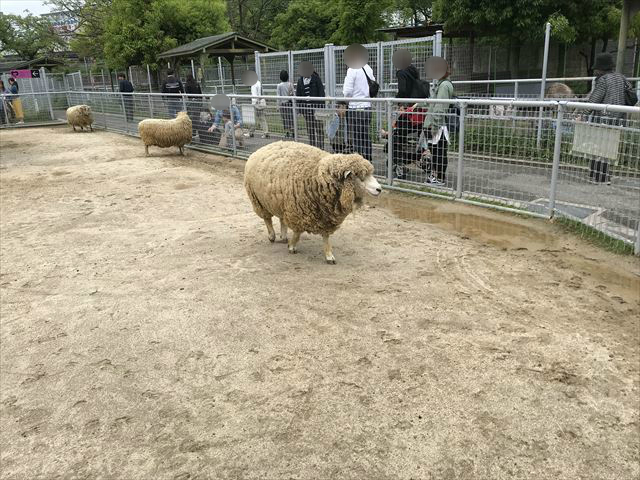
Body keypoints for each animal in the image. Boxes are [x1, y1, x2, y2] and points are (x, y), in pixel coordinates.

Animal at [244, 141, 380, 264]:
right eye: (361, 177)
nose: (380, 189)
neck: (317, 177)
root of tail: (264, 147)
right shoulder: (298, 212)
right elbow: (297, 233)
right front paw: (292, 246)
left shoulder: (325, 216)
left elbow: (325, 237)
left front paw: (329, 255)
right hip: (258, 200)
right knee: (267, 219)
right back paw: (272, 236)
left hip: (281, 201)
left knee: (282, 219)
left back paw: (283, 236)